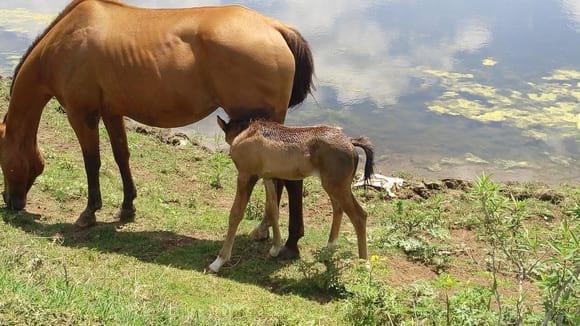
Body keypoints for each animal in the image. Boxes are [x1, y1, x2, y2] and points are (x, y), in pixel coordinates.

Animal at [0, 0, 312, 258]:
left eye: (3, 162)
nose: (9, 201)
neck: (66, 40)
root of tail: (275, 27)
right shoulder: (112, 112)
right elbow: (121, 156)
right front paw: (127, 207)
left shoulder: (81, 115)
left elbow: (92, 161)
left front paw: (89, 212)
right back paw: (277, 236)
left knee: (286, 181)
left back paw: (280, 238)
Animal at [211, 115, 374, 272]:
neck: (247, 133)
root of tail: (350, 142)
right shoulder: (268, 178)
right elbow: (273, 210)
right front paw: (275, 248)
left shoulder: (246, 176)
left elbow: (236, 214)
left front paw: (219, 261)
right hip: (336, 187)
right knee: (338, 208)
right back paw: (329, 248)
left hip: (337, 187)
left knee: (359, 217)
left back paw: (364, 264)